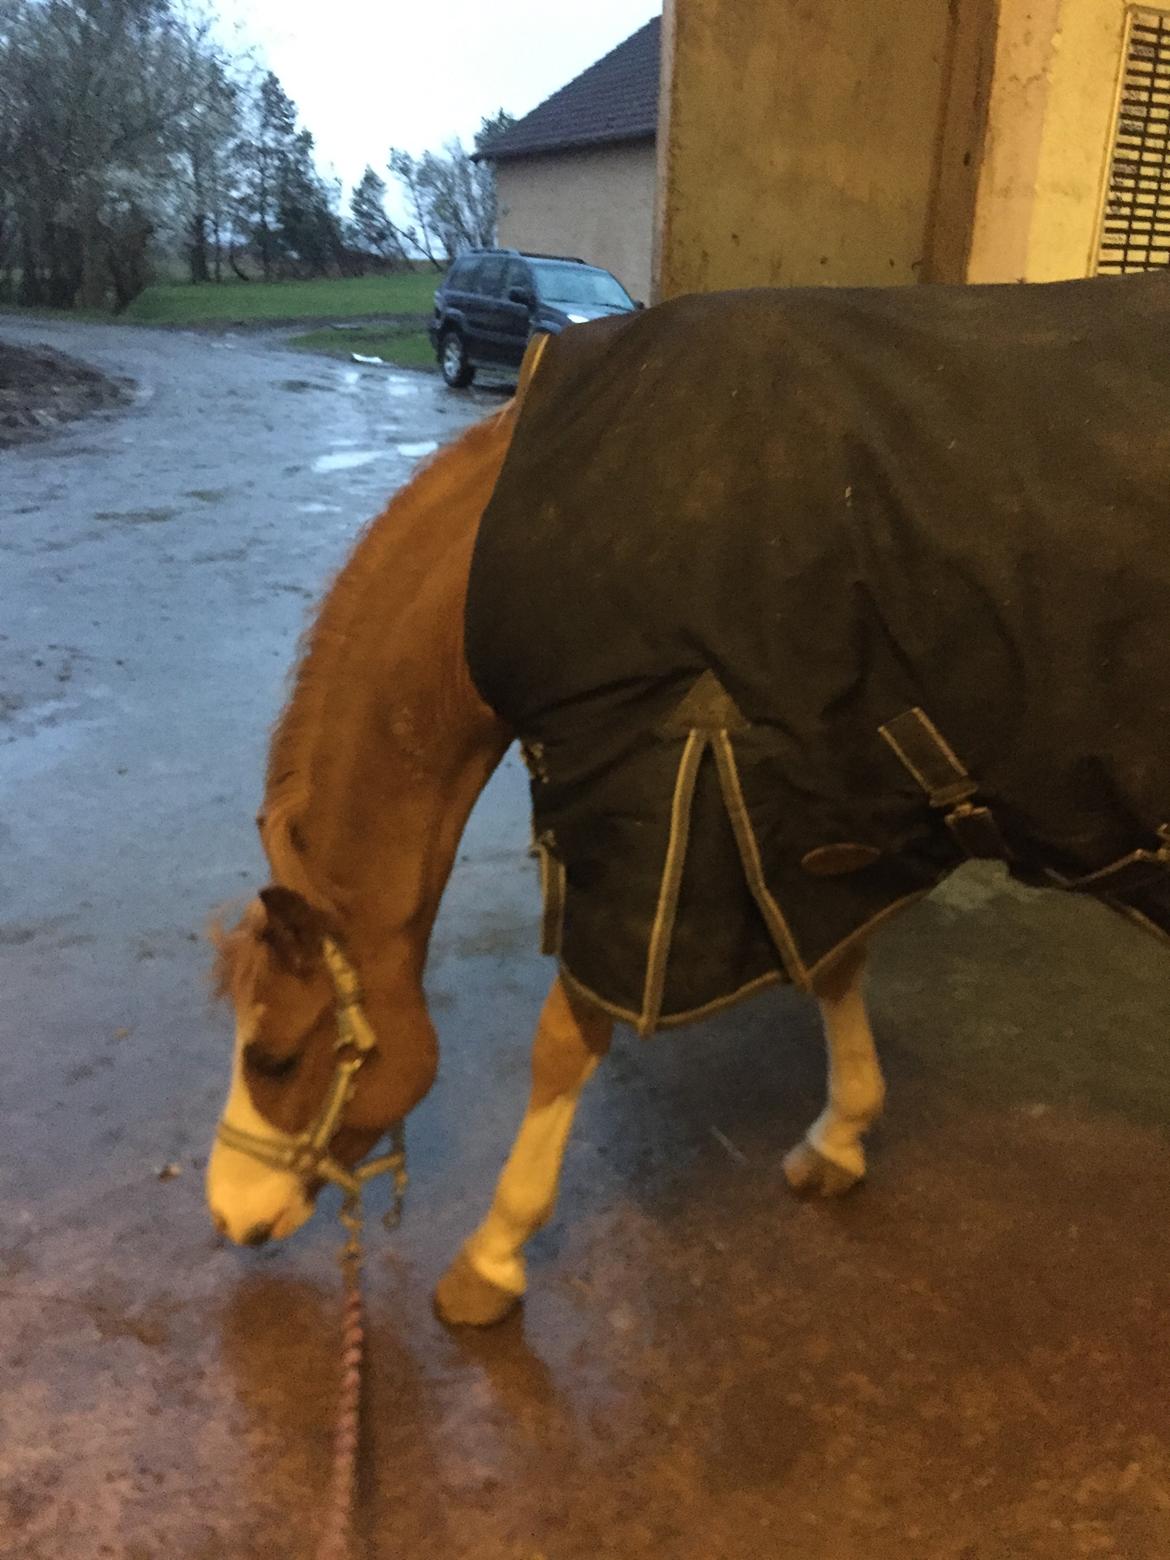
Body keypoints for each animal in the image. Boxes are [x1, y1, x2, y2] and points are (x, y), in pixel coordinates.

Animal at [207, 274, 1170, 1327]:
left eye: (276, 1058)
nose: (229, 1215)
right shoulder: (817, 810)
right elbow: (835, 967)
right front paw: (841, 1133)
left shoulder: (662, 823)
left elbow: (566, 1042)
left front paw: (494, 1252)